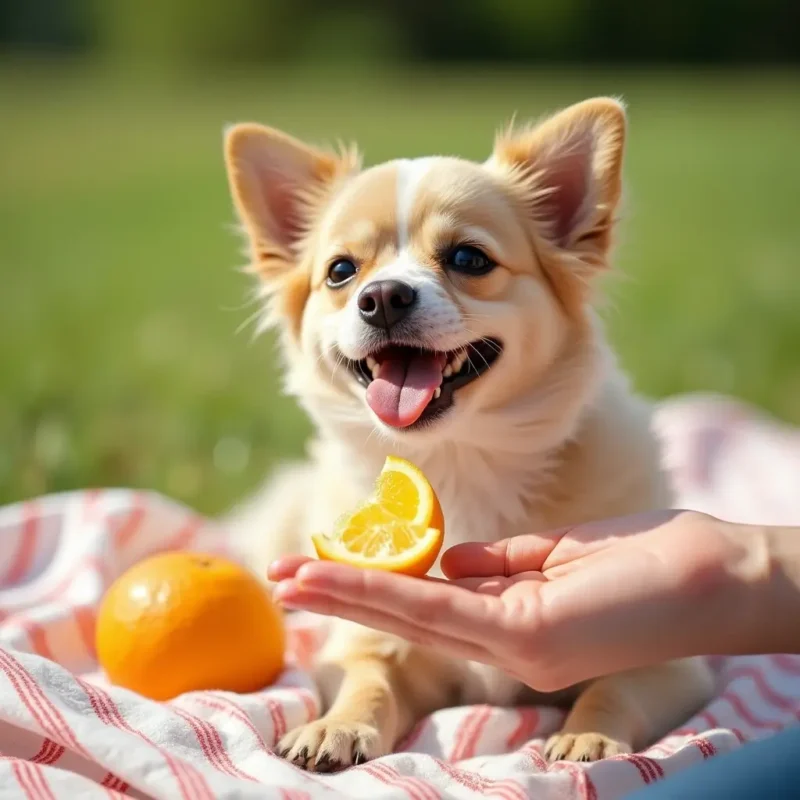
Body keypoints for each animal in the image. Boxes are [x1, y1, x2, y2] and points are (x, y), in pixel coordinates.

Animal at [219, 97, 712, 772]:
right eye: (341, 272)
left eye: (468, 259)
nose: (381, 295)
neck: (457, 460)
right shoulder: (367, 643)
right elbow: (367, 681)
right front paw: (337, 726)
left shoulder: (674, 667)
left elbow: (614, 686)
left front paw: (588, 735)